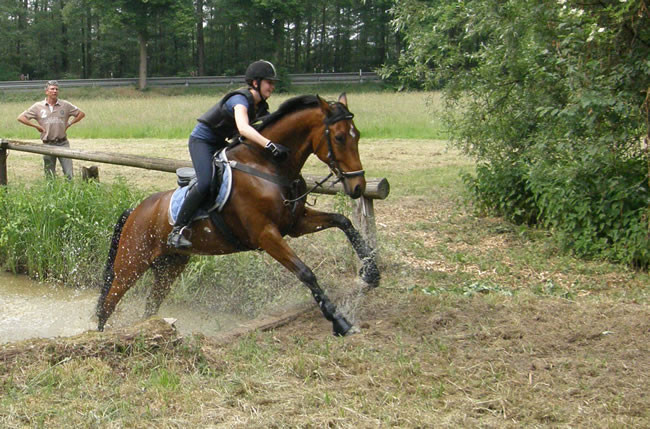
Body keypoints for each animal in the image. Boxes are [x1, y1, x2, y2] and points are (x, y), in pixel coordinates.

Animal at [96, 93, 380, 336]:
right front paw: (340, 321)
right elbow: (305, 272)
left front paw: (371, 272)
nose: (358, 187)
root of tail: (135, 210)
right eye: (340, 137)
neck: (269, 167)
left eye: (357, 135)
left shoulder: (296, 224)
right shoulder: (266, 235)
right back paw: (99, 337)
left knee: (150, 305)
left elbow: (343, 221)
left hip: (169, 266)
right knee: (107, 304)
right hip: (131, 264)